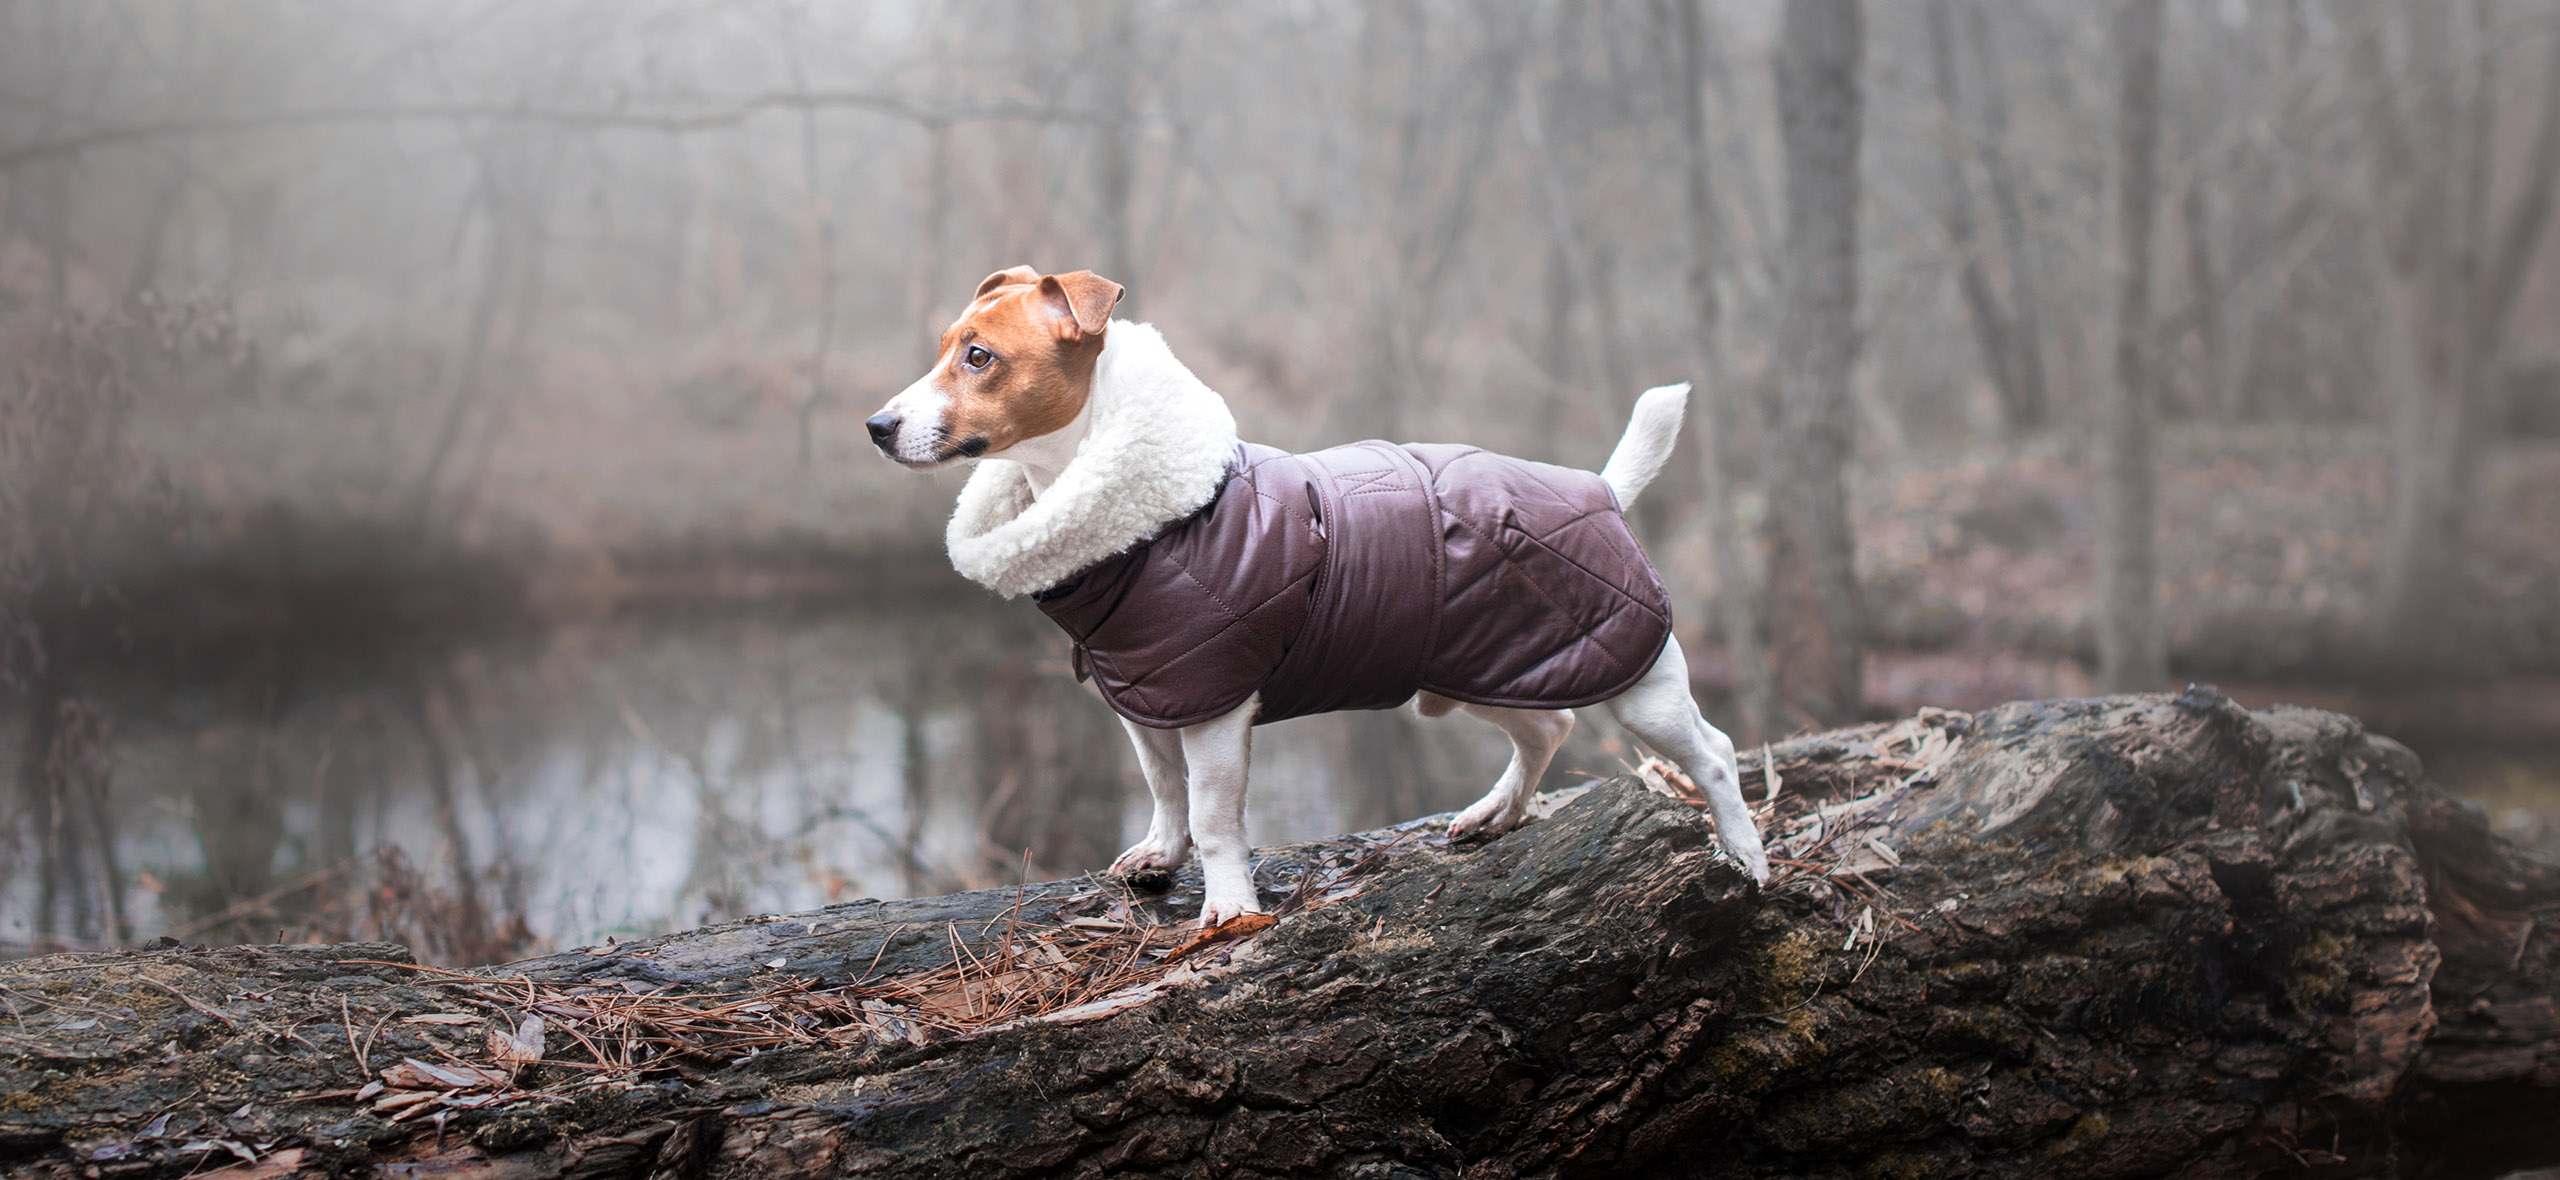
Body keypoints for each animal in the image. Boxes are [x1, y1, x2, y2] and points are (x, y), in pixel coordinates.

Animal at [870, 266, 1771, 921]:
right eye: (946, 347)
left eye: (980, 357)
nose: (877, 426)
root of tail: (1601, 488)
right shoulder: (1145, 697)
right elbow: (1165, 793)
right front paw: (1160, 857)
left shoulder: (1213, 704)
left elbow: (1214, 816)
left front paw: (1229, 907)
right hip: (1490, 668)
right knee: (1548, 727)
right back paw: (1498, 813)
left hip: (1633, 673)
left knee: (1714, 753)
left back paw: (1747, 856)